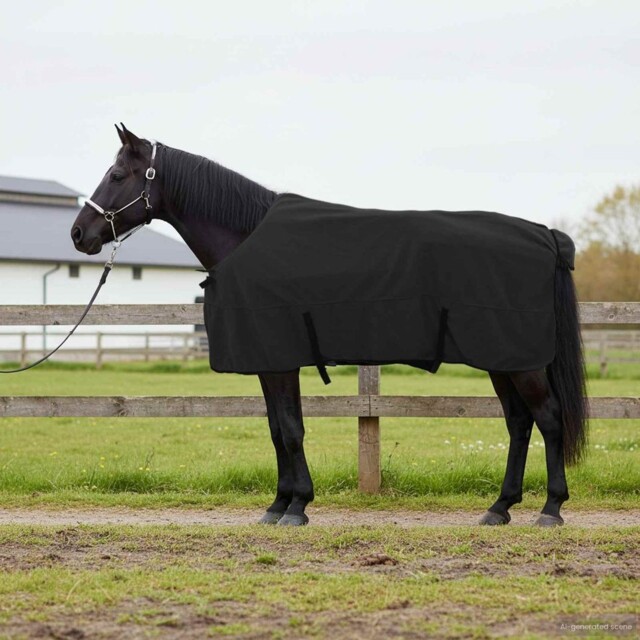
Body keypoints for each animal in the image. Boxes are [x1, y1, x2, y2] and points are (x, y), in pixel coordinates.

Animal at [70, 124, 588, 527]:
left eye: (117, 175)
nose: (79, 234)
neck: (247, 238)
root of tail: (545, 235)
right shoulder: (269, 363)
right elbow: (277, 429)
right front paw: (278, 504)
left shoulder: (280, 360)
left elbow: (291, 429)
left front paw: (297, 506)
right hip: (503, 360)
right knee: (519, 422)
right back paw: (500, 508)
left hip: (521, 362)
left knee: (549, 418)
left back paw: (551, 509)